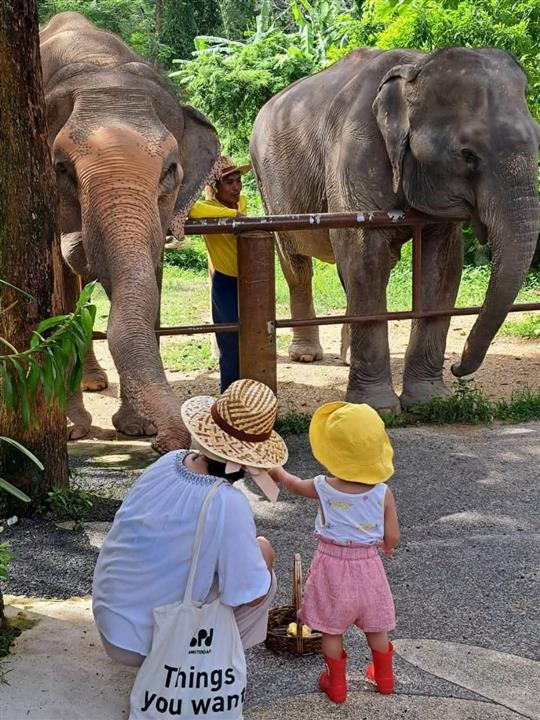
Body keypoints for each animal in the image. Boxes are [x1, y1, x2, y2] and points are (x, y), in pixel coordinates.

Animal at [39, 12, 219, 451]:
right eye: (61, 169)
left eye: (170, 169)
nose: (167, 444)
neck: (99, 62)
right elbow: (62, 290)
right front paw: (73, 430)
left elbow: (149, 277)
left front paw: (139, 428)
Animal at [250, 46, 540, 413]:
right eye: (467, 154)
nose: (457, 367)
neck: (415, 66)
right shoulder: (356, 148)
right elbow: (363, 252)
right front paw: (377, 408)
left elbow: (442, 265)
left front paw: (430, 403)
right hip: (267, 187)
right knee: (296, 262)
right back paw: (305, 355)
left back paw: (346, 358)